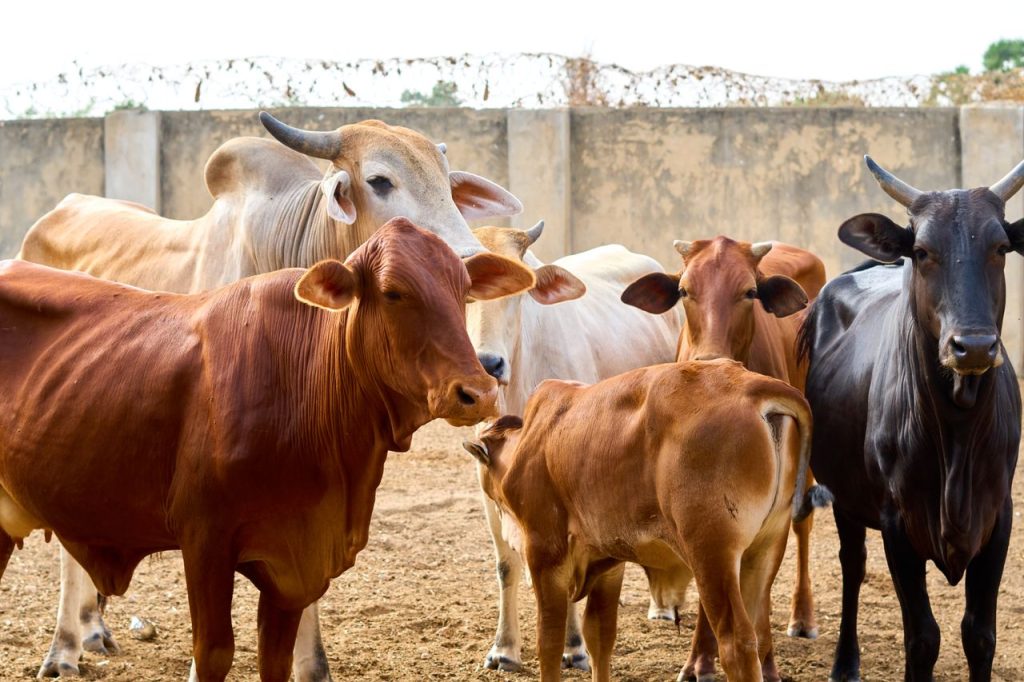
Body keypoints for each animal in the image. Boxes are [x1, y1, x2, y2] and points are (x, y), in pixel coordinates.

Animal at [18, 112, 525, 679]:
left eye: (448, 183)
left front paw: (312, 664)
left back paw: (93, 627)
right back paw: (63, 647)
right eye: (379, 180)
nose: (469, 261)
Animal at [462, 359, 826, 681]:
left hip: (712, 555)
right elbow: (600, 638)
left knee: (737, 644)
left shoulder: (545, 557)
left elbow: (549, 644)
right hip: (764, 550)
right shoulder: (608, 564)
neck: (534, 439)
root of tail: (750, 388)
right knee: (761, 638)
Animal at [464, 222, 681, 671]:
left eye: (520, 291)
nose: (488, 365)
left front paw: (575, 646)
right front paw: (504, 648)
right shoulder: (486, 476)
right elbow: (506, 565)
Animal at [620, 236, 825, 680]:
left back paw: (802, 617)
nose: (709, 361)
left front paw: (766, 661)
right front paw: (699, 659)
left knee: (803, 525)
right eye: (684, 290)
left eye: (749, 292)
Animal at [799, 155, 1024, 681]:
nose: (973, 346)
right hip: (844, 496)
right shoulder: (897, 523)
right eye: (922, 251)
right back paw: (845, 662)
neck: (958, 428)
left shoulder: (998, 517)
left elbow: (979, 635)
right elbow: (922, 639)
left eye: (1001, 247)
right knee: (853, 564)